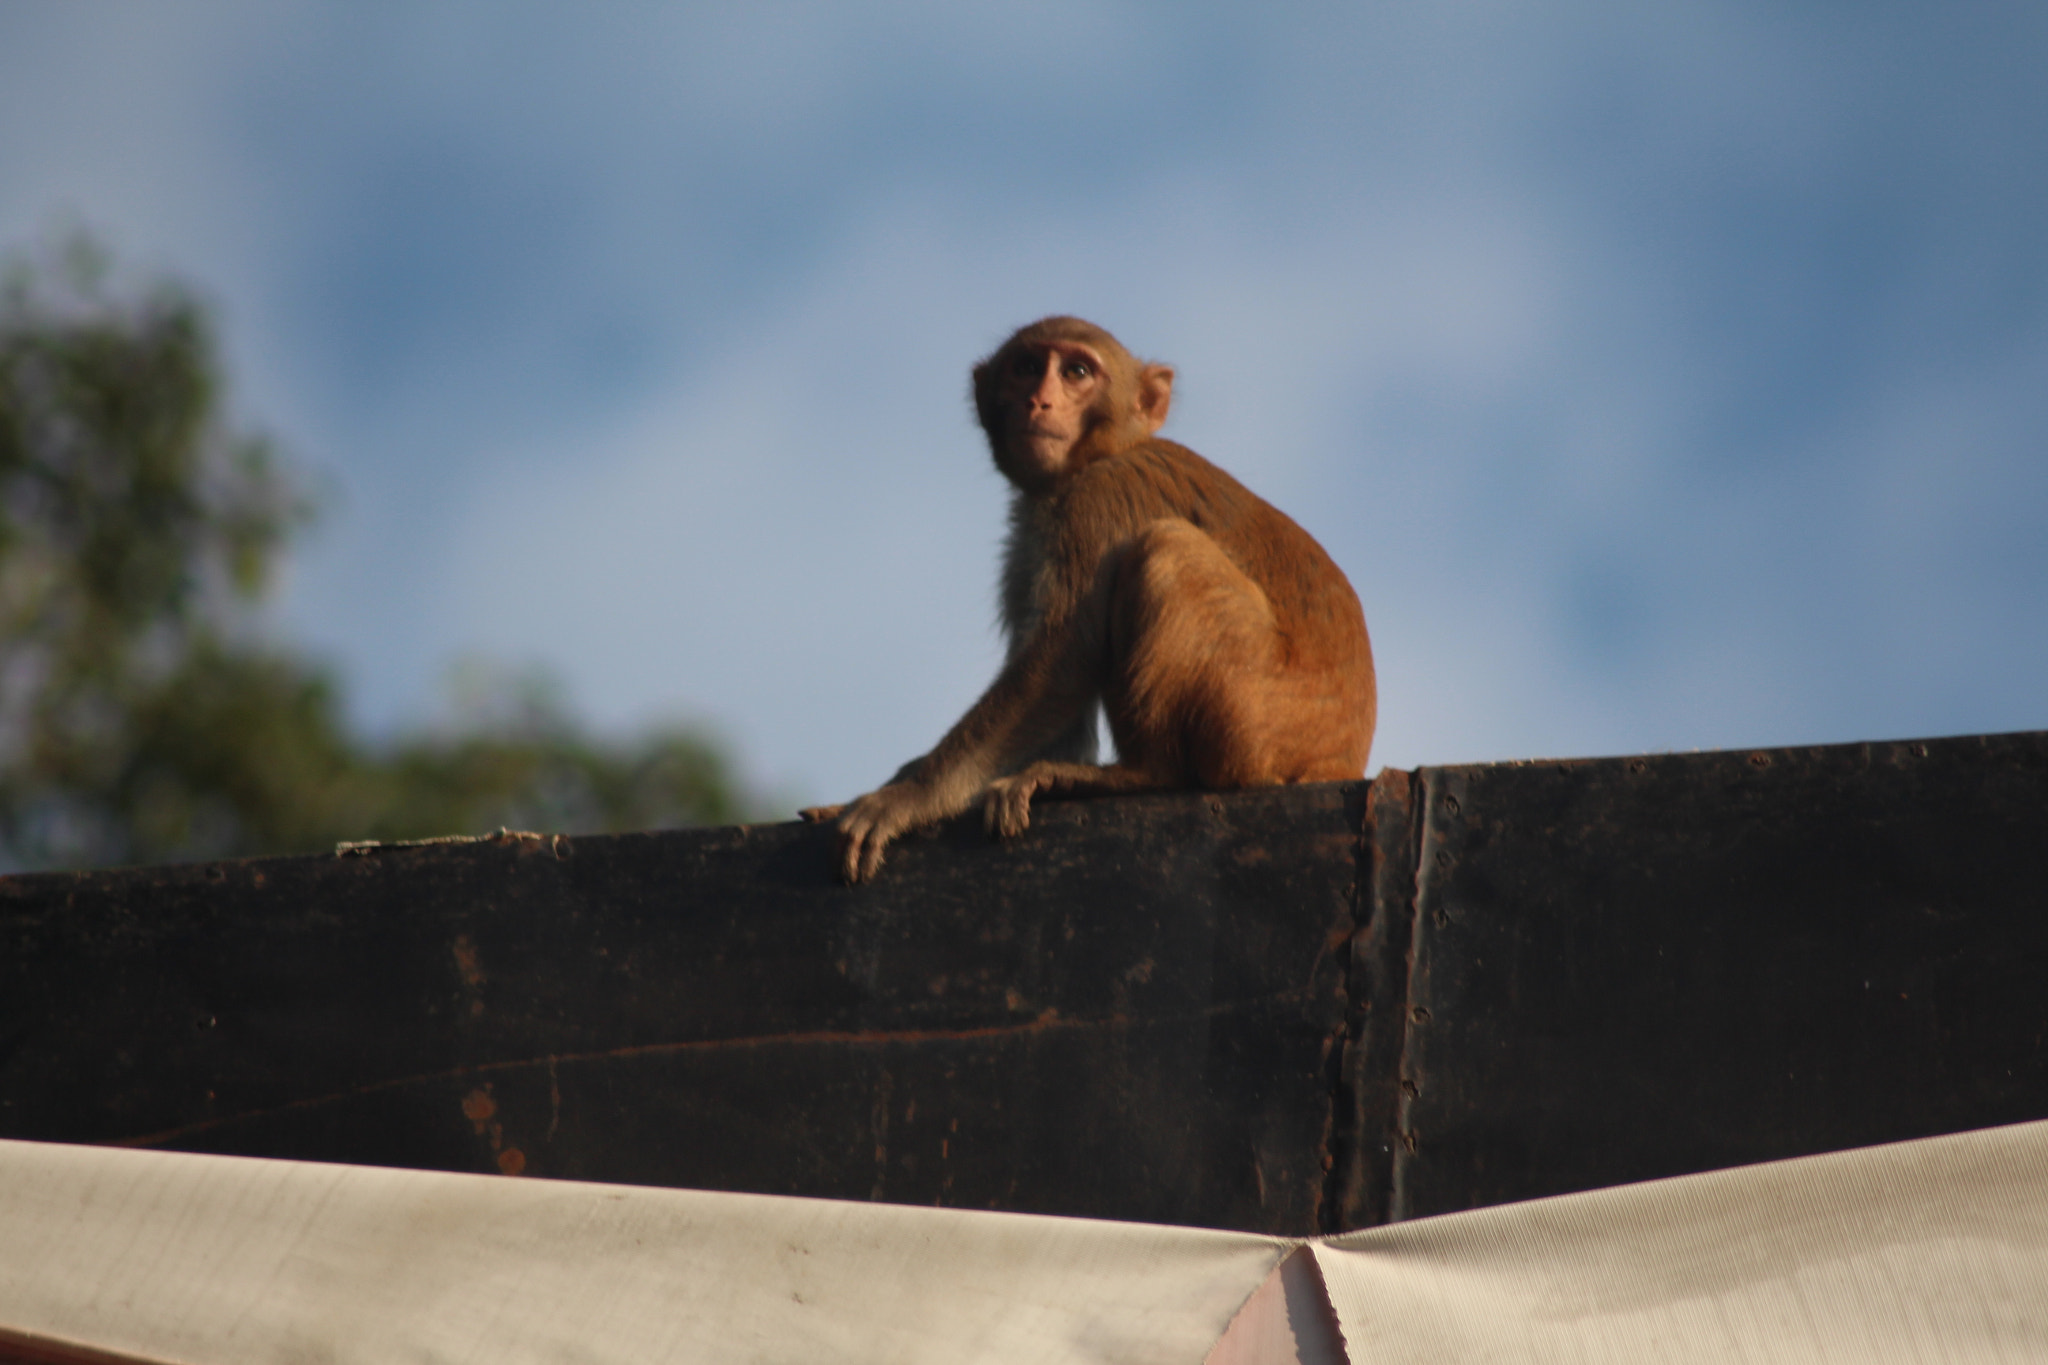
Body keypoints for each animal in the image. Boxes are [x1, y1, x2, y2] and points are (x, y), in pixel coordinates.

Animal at [800, 316, 1375, 883]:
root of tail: (1340, 760)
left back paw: (1145, 774)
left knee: (1165, 548)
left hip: (1255, 715)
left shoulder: (1096, 501)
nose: (1039, 401)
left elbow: (1061, 661)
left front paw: (907, 798)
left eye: (1077, 372)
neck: (1103, 454)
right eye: (1026, 367)